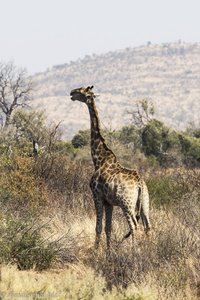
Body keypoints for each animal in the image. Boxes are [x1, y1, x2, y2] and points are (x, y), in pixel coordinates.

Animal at [70, 85, 150, 250]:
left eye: (81, 90)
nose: (71, 93)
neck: (98, 159)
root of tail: (140, 183)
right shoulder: (109, 202)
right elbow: (108, 228)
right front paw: (108, 251)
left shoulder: (97, 195)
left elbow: (98, 227)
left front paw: (96, 251)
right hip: (145, 202)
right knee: (148, 226)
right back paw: (150, 251)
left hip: (127, 203)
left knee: (134, 225)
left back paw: (135, 252)